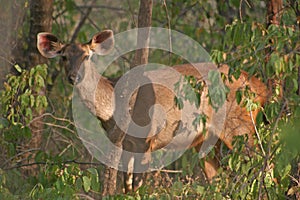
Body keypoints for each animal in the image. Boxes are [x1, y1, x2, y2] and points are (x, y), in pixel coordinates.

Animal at [36, 29, 268, 194]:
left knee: (264, 164)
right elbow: (127, 187)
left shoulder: (146, 139)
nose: (73, 77)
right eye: (64, 56)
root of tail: (261, 87)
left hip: (240, 126)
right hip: (207, 139)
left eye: (86, 56)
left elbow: (137, 187)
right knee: (218, 177)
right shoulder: (125, 143)